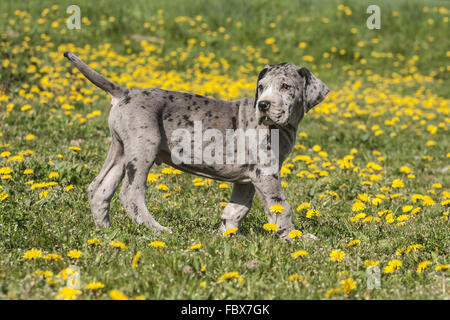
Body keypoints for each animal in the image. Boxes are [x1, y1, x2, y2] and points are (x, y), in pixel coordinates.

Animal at [63, 50, 328, 238]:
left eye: (285, 87)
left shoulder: (248, 177)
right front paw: (295, 237)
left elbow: (237, 208)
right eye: (261, 88)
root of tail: (124, 92)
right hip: (142, 149)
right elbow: (280, 206)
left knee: (99, 188)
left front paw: (226, 235)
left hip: (119, 150)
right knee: (131, 194)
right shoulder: (265, 174)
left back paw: (105, 230)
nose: (263, 105)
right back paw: (158, 230)